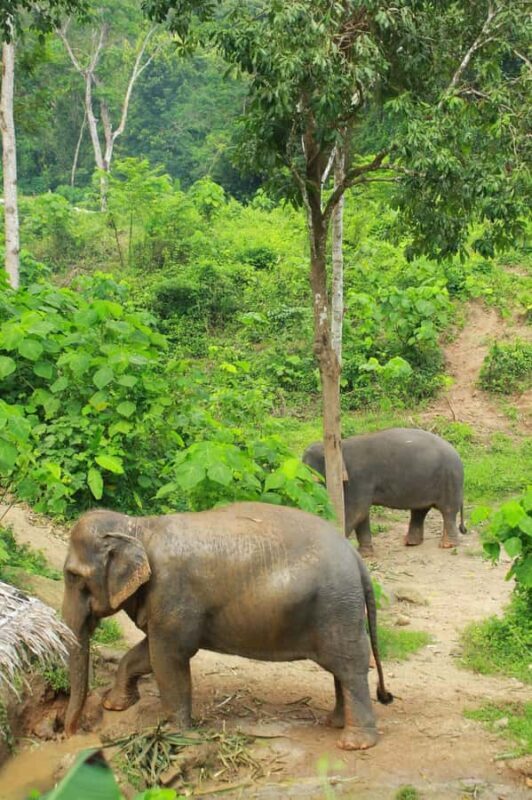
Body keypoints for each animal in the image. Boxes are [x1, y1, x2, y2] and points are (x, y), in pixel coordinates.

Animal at [62, 502, 393, 751]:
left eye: (73, 576)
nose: (70, 732)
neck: (138, 527)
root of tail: (355, 557)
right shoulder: (165, 610)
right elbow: (147, 653)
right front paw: (115, 705)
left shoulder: (172, 595)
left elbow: (168, 658)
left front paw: (175, 733)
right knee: (341, 668)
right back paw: (334, 723)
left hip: (336, 608)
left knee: (350, 665)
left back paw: (354, 743)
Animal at [302, 428, 466, 557]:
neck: (339, 448)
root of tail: (457, 455)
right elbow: (362, 514)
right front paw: (365, 554)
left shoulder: (359, 478)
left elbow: (356, 511)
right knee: (420, 511)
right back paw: (411, 542)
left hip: (449, 481)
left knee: (448, 511)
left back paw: (447, 545)